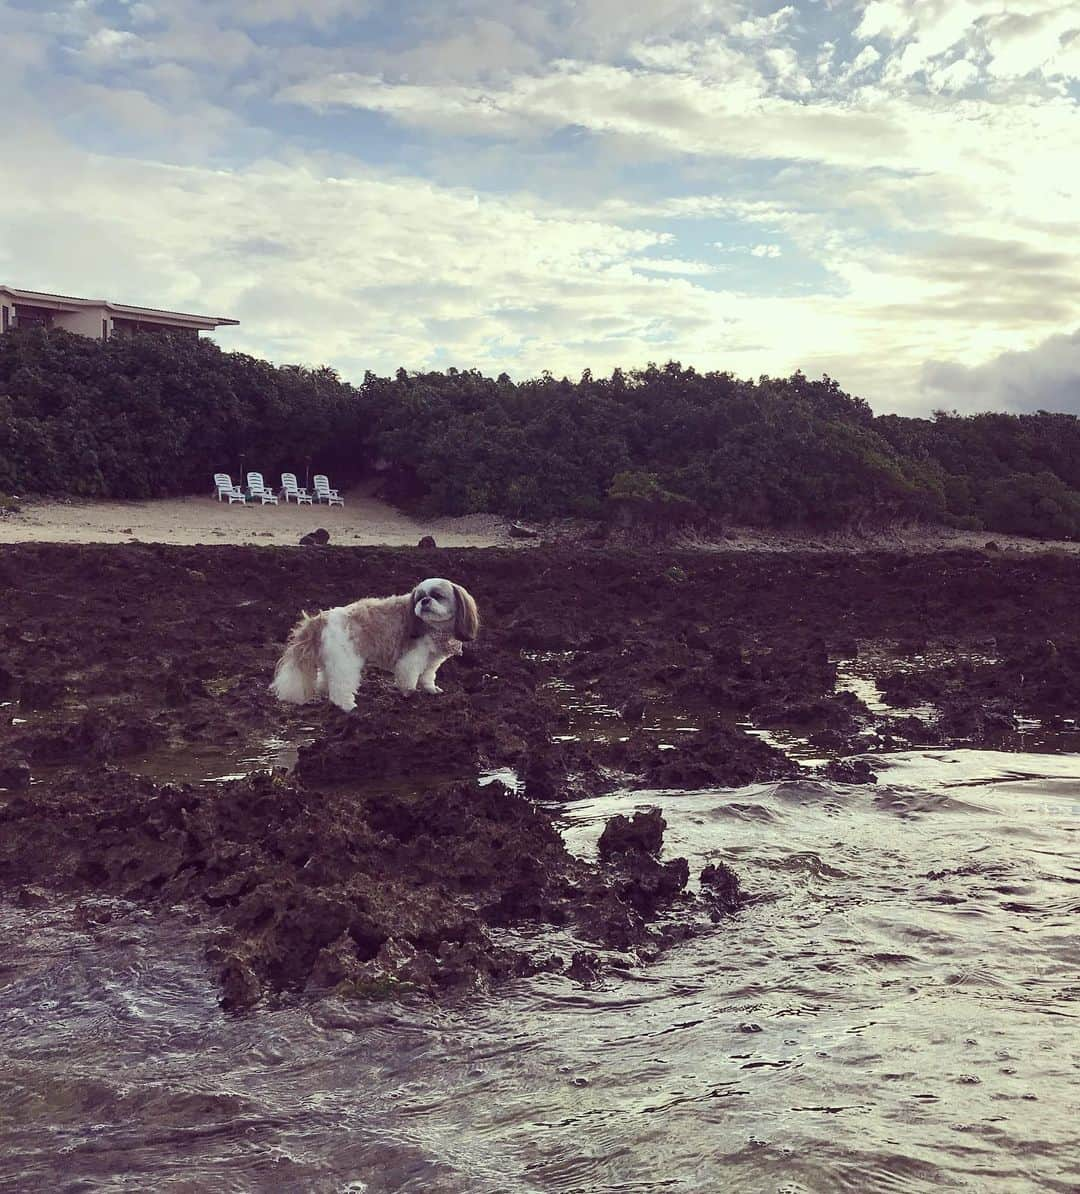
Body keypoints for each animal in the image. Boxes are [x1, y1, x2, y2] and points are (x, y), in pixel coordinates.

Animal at [268, 577, 477, 706]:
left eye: (437, 596)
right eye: (418, 597)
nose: (424, 601)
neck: (433, 627)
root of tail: (321, 619)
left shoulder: (431, 661)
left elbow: (427, 677)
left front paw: (431, 690)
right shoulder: (411, 659)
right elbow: (409, 679)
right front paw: (410, 695)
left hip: (332, 660)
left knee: (327, 680)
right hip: (345, 662)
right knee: (341, 688)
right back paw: (348, 707)